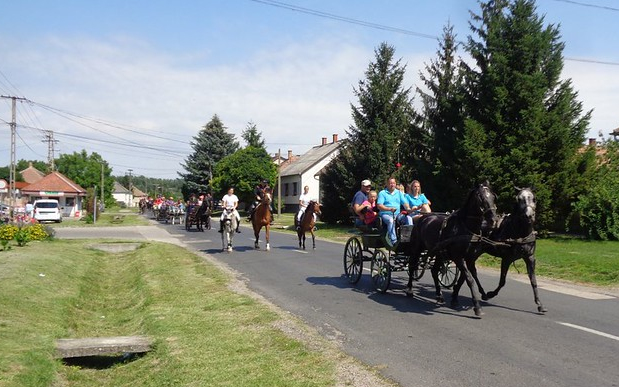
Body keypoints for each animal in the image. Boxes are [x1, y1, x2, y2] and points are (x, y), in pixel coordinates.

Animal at [406, 183, 498, 318]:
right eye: (481, 198)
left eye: (493, 196)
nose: (494, 220)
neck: (465, 228)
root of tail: (423, 218)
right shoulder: (458, 257)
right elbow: (469, 279)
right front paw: (477, 307)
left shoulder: (470, 259)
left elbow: (464, 278)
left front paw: (454, 299)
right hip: (416, 248)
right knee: (412, 266)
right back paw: (409, 290)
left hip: (439, 254)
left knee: (434, 271)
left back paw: (439, 295)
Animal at [460, 188, 548, 316]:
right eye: (518, 199)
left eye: (534, 198)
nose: (529, 215)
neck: (520, 232)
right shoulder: (507, 259)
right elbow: (502, 281)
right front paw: (491, 293)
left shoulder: (530, 257)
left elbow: (533, 281)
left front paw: (540, 304)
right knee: (472, 270)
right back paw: (483, 293)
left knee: (470, 269)